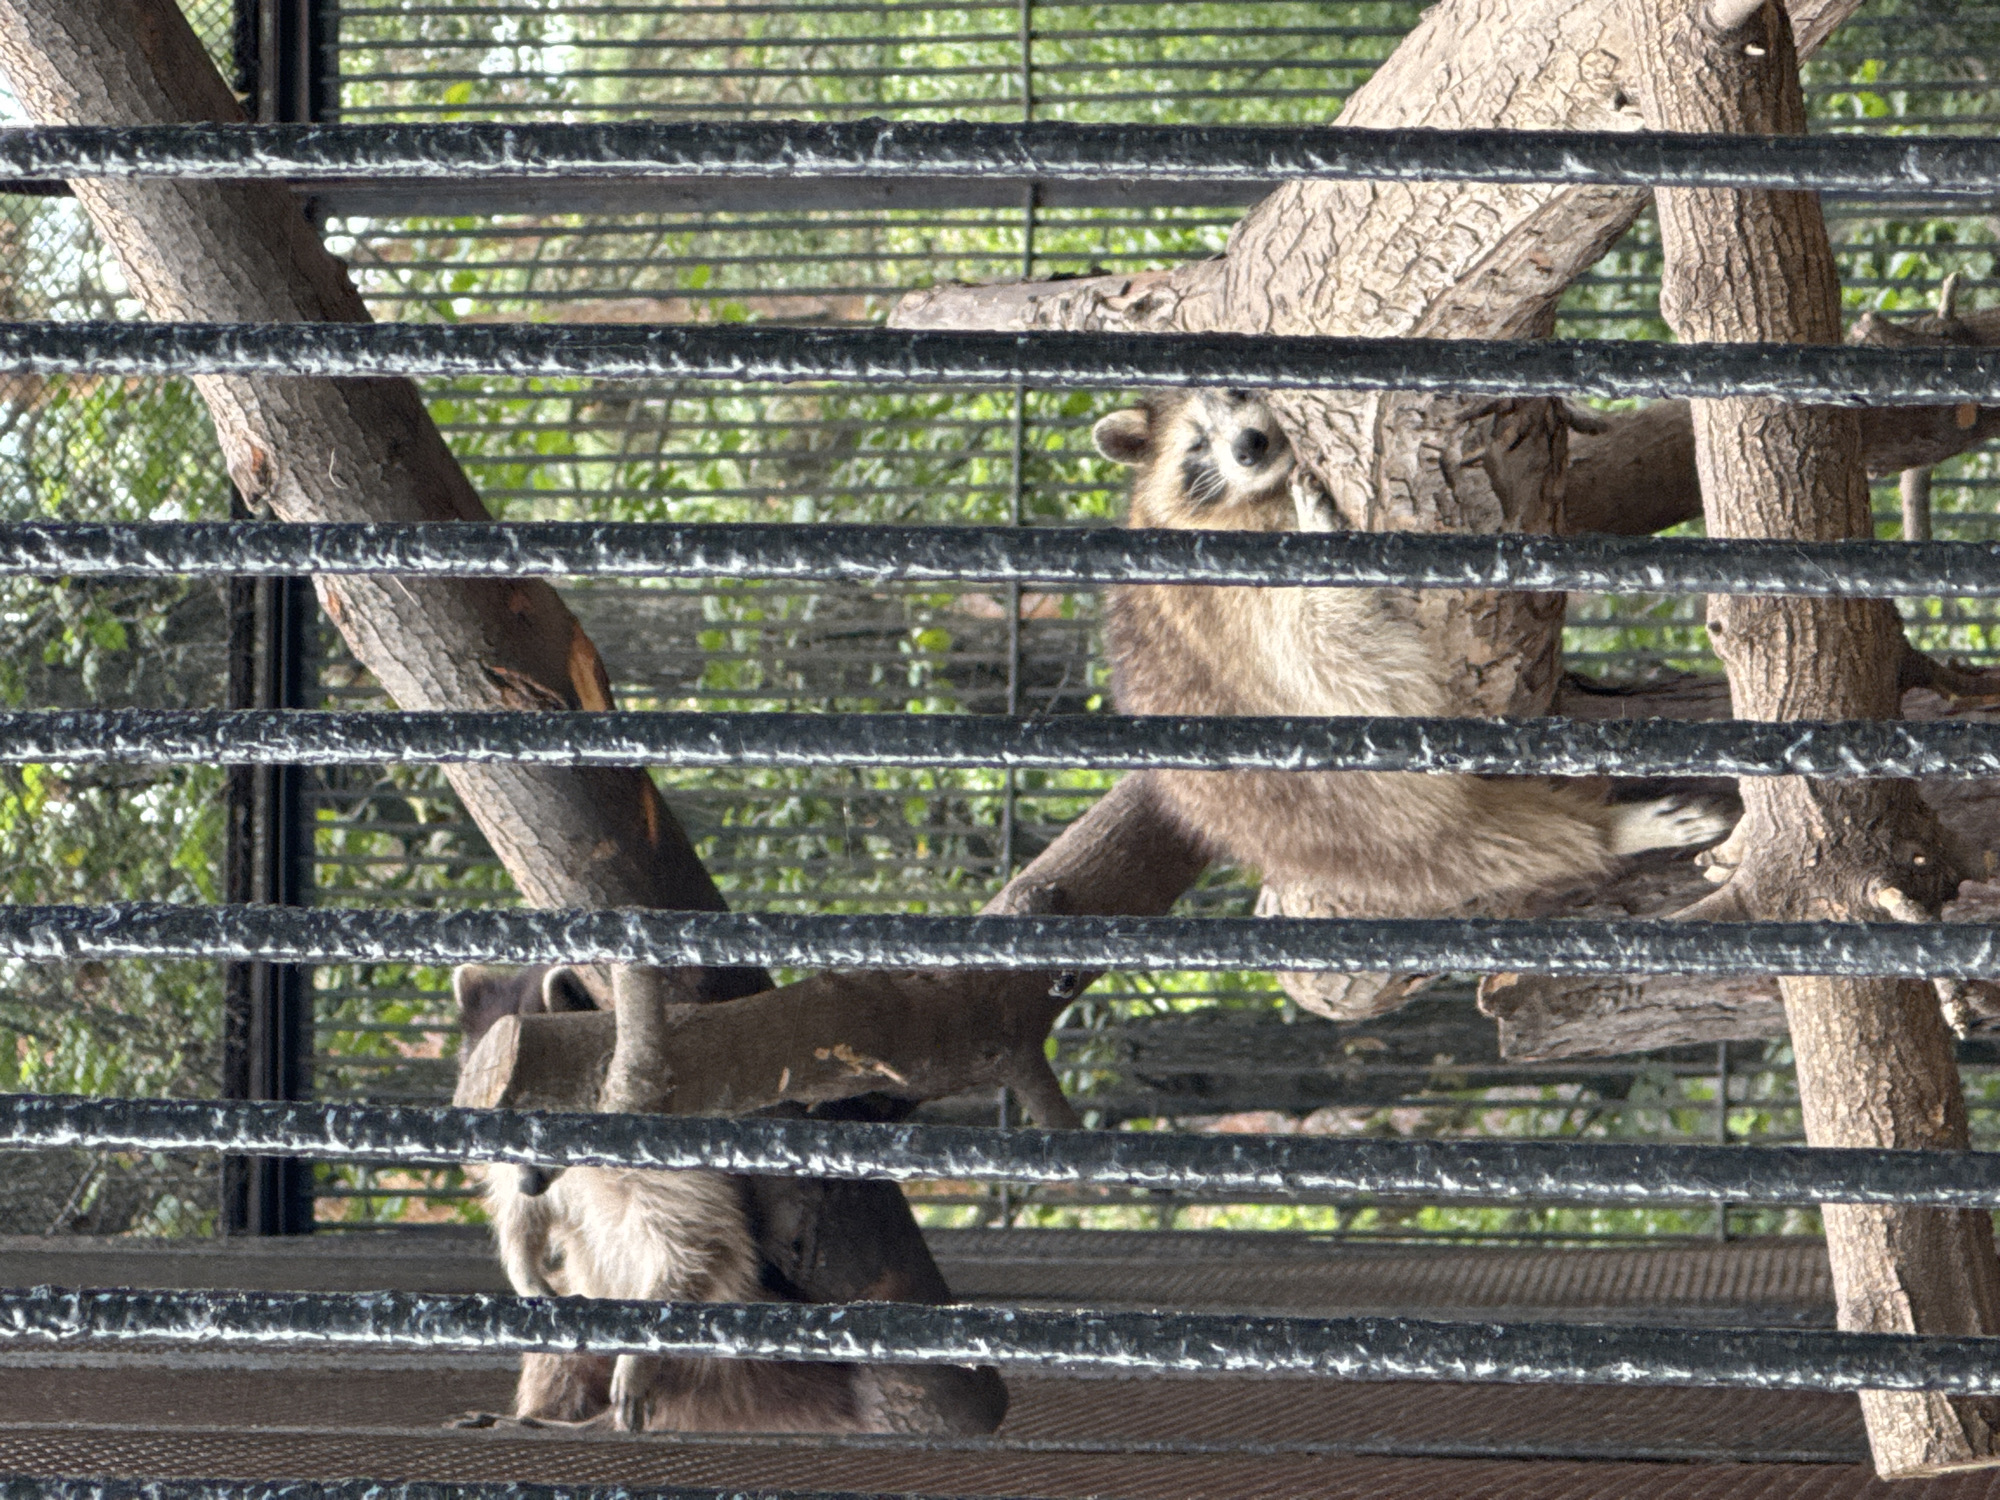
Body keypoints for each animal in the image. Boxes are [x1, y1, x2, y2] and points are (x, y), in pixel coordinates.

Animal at [1095, 390, 1732, 923]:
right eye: (1197, 444)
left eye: (1237, 392)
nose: (1248, 445)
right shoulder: (1230, 605)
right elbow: (1326, 652)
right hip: (1359, 816)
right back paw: (1606, 832)